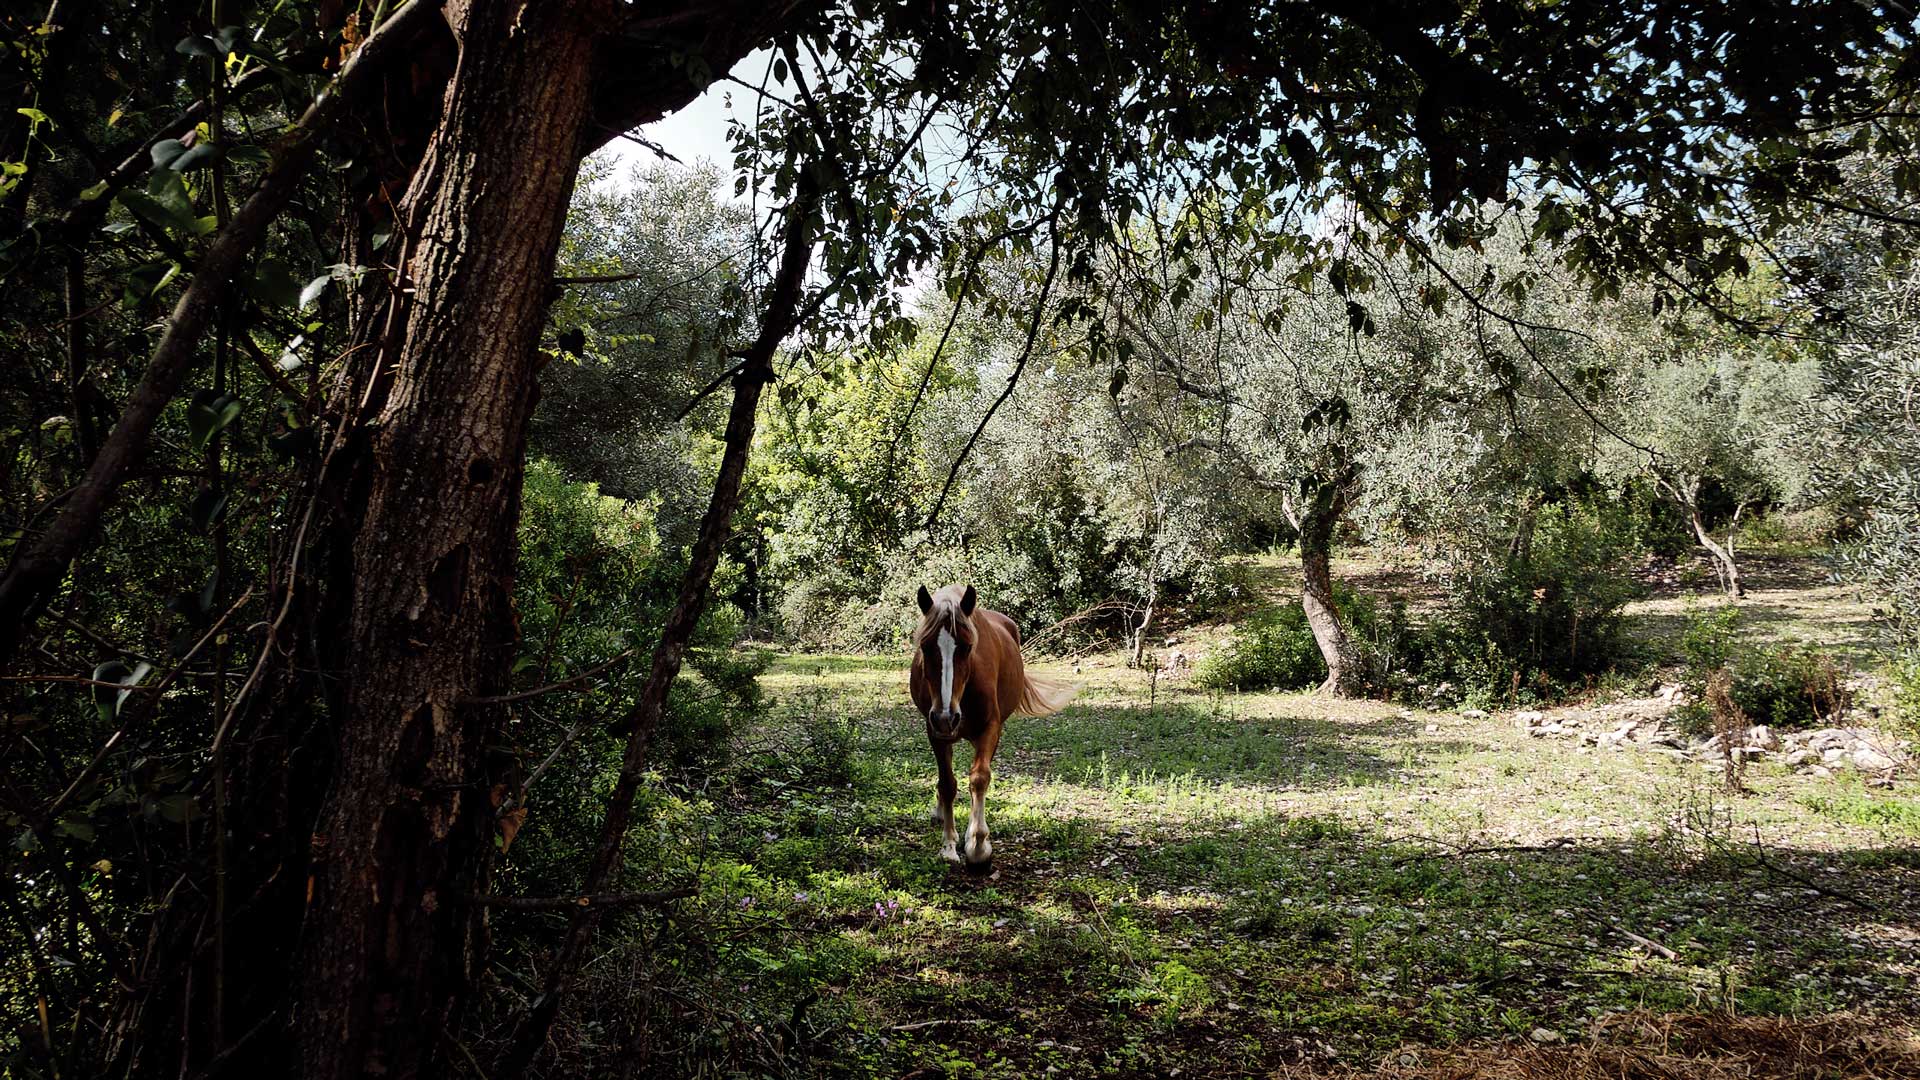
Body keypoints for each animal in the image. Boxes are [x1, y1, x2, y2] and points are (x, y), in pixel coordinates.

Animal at [906, 584, 1075, 868]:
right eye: (926, 647)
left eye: (967, 647)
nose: (946, 716)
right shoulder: (936, 732)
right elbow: (947, 784)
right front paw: (949, 845)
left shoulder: (989, 729)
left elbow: (979, 778)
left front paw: (977, 844)